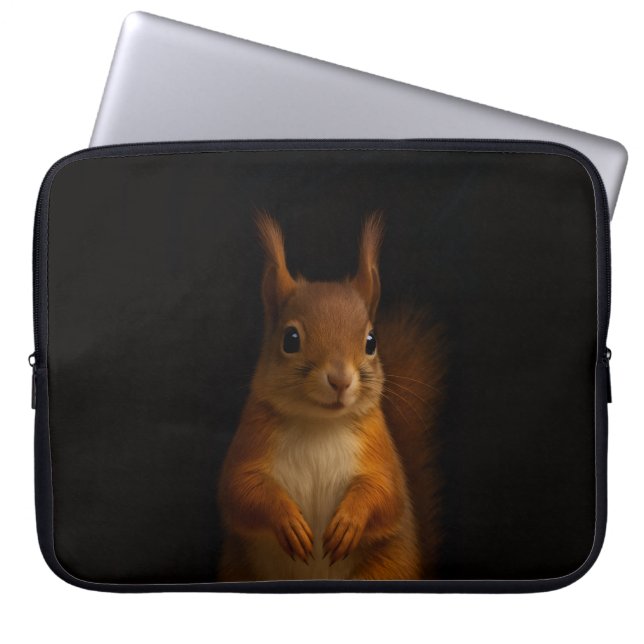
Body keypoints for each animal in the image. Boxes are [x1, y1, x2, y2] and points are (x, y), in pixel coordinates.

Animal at [217, 211, 442, 581]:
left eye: (371, 341)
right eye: (290, 339)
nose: (340, 380)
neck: (319, 424)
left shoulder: (379, 450)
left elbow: (386, 493)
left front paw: (349, 523)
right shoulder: (252, 439)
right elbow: (240, 489)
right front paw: (288, 521)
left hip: (384, 569)